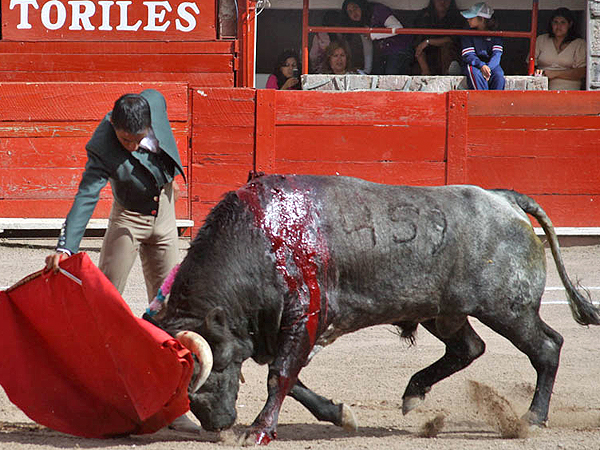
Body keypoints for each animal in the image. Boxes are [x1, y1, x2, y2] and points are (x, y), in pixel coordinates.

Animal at [157, 174, 596, 444]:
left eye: (214, 365)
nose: (217, 424)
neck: (260, 241)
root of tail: (504, 199)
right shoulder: (278, 331)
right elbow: (290, 379)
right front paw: (338, 414)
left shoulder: (304, 317)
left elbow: (280, 375)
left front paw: (260, 431)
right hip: (444, 312)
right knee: (469, 347)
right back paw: (414, 393)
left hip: (509, 309)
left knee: (547, 347)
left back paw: (532, 418)